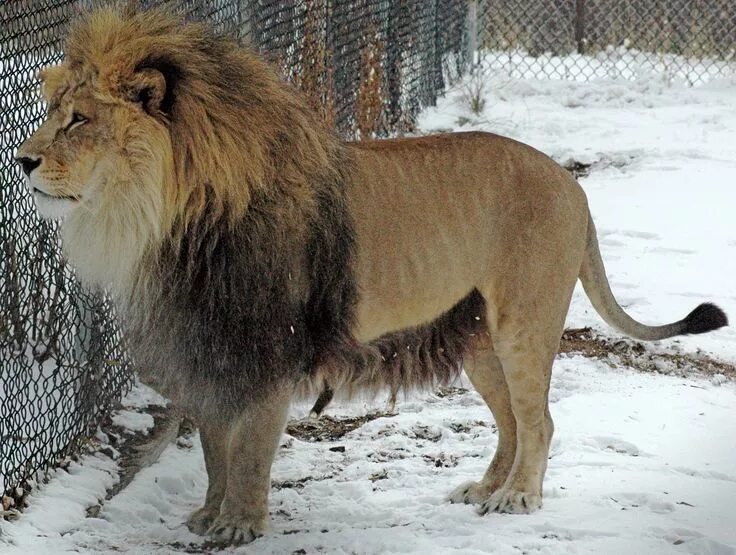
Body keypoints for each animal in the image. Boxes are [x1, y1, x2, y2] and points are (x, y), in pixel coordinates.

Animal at [15, 6, 724, 548]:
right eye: (53, 109)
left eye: (79, 120)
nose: (22, 161)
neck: (160, 222)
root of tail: (572, 184)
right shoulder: (210, 351)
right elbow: (216, 448)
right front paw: (208, 515)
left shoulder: (266, 350)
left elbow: (249, 451)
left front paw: (240, 526)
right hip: (480, 341)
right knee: (512, 423)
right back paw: (485, 488)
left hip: (523, 325)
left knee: (539, 421)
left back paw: (518, 498)